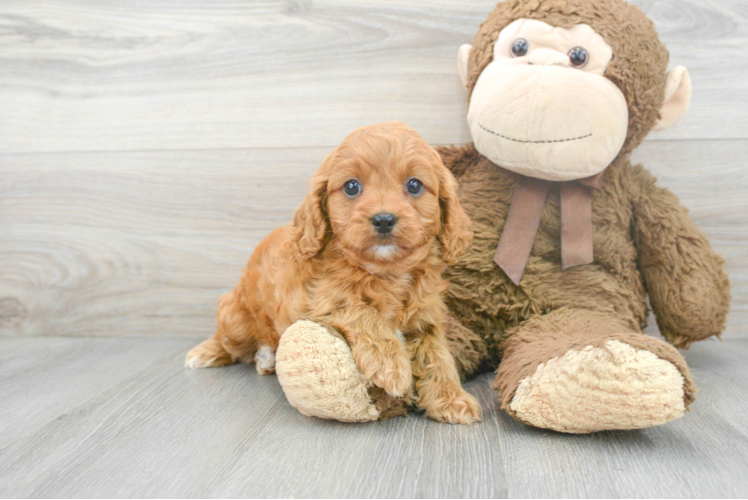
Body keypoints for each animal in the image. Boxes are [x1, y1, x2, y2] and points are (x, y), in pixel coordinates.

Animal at [186, 121, 480, 422]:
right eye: (351, 186)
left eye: (414, 185)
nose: (384, 219)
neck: (384, 272)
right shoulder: (313, 304)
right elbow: (360, 310)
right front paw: (391, 364)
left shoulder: (426, 318)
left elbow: (438, 356)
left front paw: (452, 399)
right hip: (237, 318)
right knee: (227, 338)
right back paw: (204, 353)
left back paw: (265, 358)